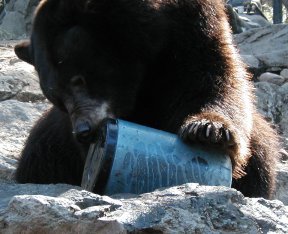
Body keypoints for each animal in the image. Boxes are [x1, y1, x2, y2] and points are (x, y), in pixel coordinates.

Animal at [13, 0, 280, 198]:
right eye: (56, 97)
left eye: (78, 79)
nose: (83, 131)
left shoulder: (195, 29)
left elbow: (215, 79)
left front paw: (208, 130)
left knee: (260, 158)